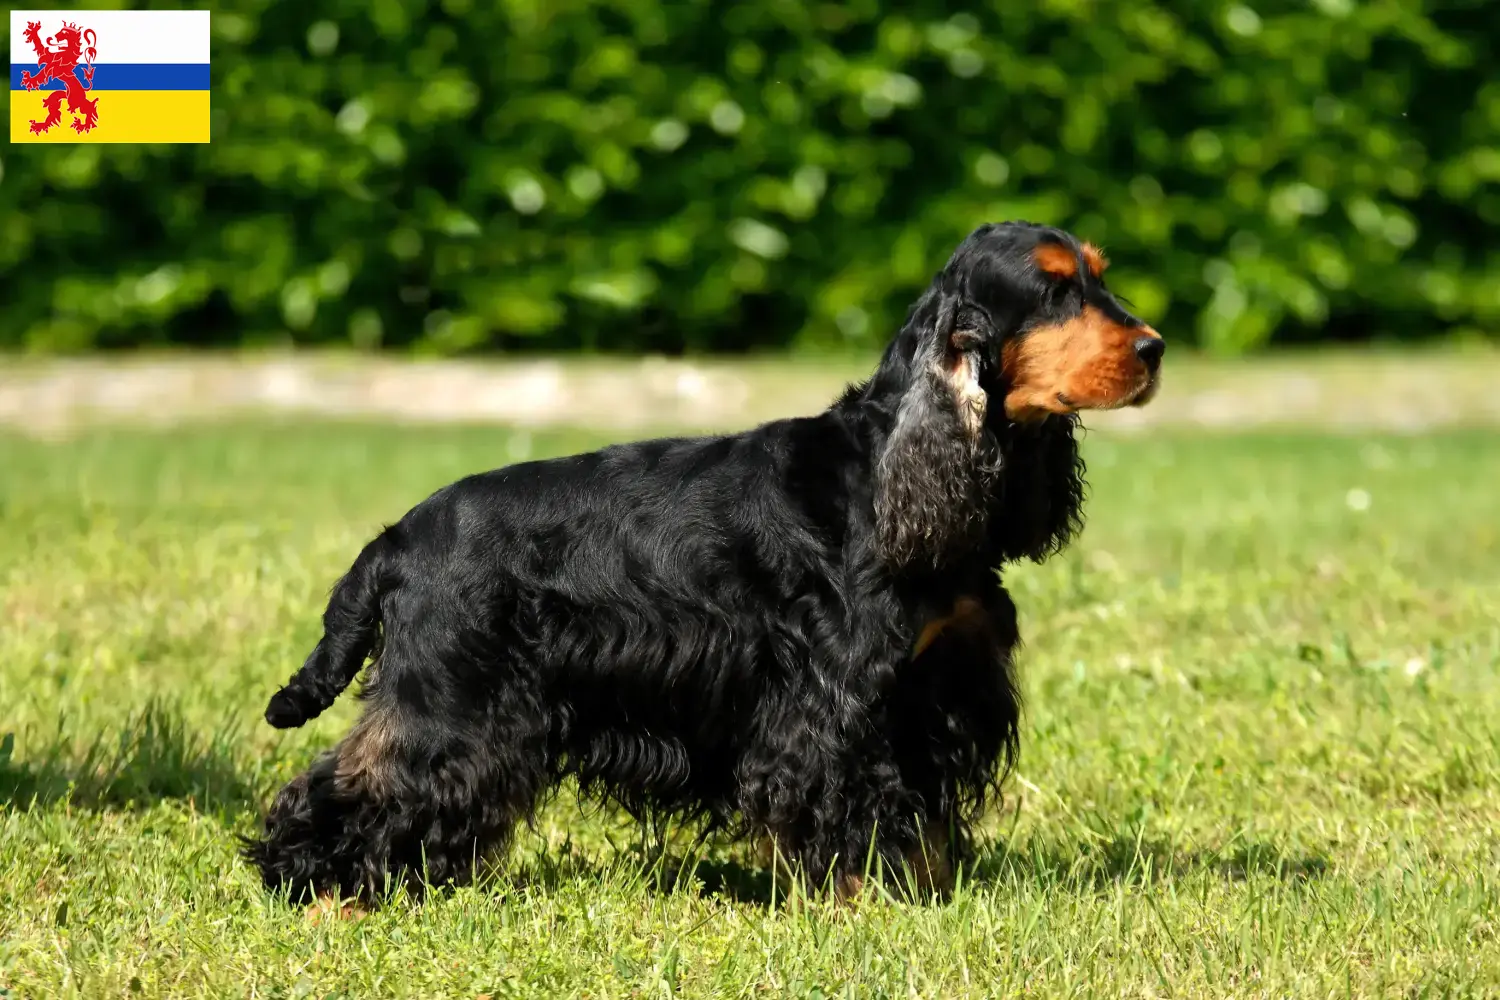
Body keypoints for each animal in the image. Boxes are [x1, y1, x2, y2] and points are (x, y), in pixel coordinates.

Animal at [246, 220, 1164, 905]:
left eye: (1100, 278)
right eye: (1053, 290)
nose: (1155, 348)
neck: (885, 470)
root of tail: (398, 537)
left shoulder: (936, 691)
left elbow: (920, 812)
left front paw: (925, 894)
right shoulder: (836, 698)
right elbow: (847, 800)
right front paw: (861, 902)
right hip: (451, 696)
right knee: (353, 787)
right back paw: (322, 890)